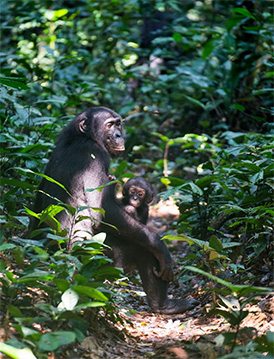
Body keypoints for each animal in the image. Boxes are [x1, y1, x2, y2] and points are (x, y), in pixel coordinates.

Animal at [31, 107, 198, 316]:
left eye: (119, 124)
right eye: (109, 125)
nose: (119, 134)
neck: (83, 137)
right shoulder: (95, 156)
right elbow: (103, 211)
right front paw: (159, 245)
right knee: (143, 250)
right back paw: (165, 305)